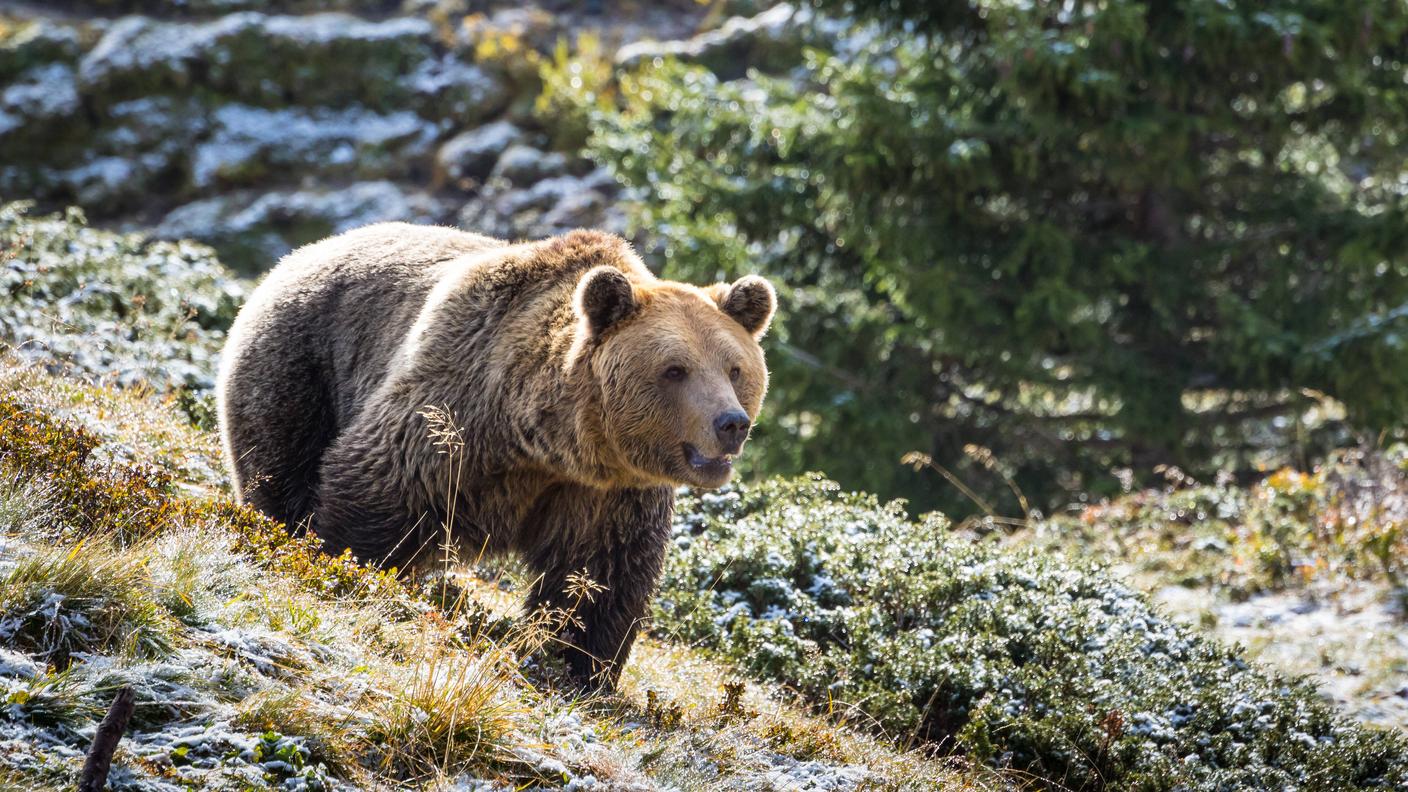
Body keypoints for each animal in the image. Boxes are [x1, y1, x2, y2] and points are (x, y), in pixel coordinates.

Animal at [216, 223, 774, 687]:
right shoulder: (453, 412)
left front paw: (579, 665)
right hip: (301, 364)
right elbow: (374, 492)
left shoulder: (607, 492)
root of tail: (302, 253)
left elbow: (599, 575)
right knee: (281, 469)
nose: (731, 424)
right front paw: (342, 566)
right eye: (675, 369)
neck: (545, 440)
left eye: (735, 369)